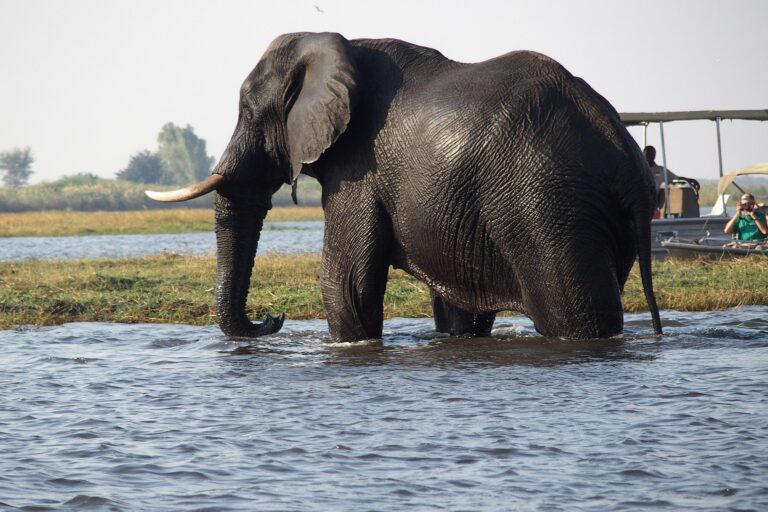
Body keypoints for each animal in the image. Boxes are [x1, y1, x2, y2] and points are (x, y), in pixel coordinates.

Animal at [147, 32, 662, 342]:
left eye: (248, 111)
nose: (273, 316)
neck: (339, 46)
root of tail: (621, 146)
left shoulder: (360, 168)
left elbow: (346, 281)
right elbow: (456, 305)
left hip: (548, 208)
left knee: (576, 315)